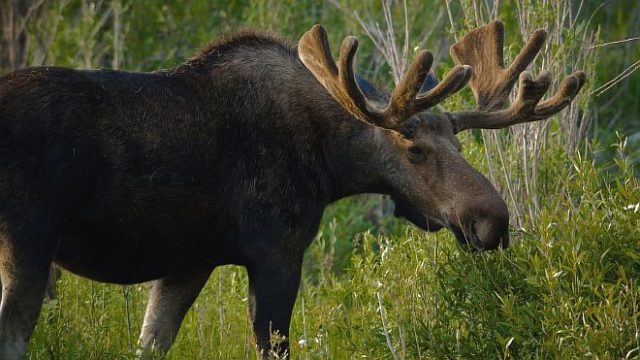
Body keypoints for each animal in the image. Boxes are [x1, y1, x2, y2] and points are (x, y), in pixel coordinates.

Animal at [0, 21, 584, 358]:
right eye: (414, 149)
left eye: (459, 143)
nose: (493, 220)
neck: (330, 165)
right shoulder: (276, 251)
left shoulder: (190, 261)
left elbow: (151, 340)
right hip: (27, 239)